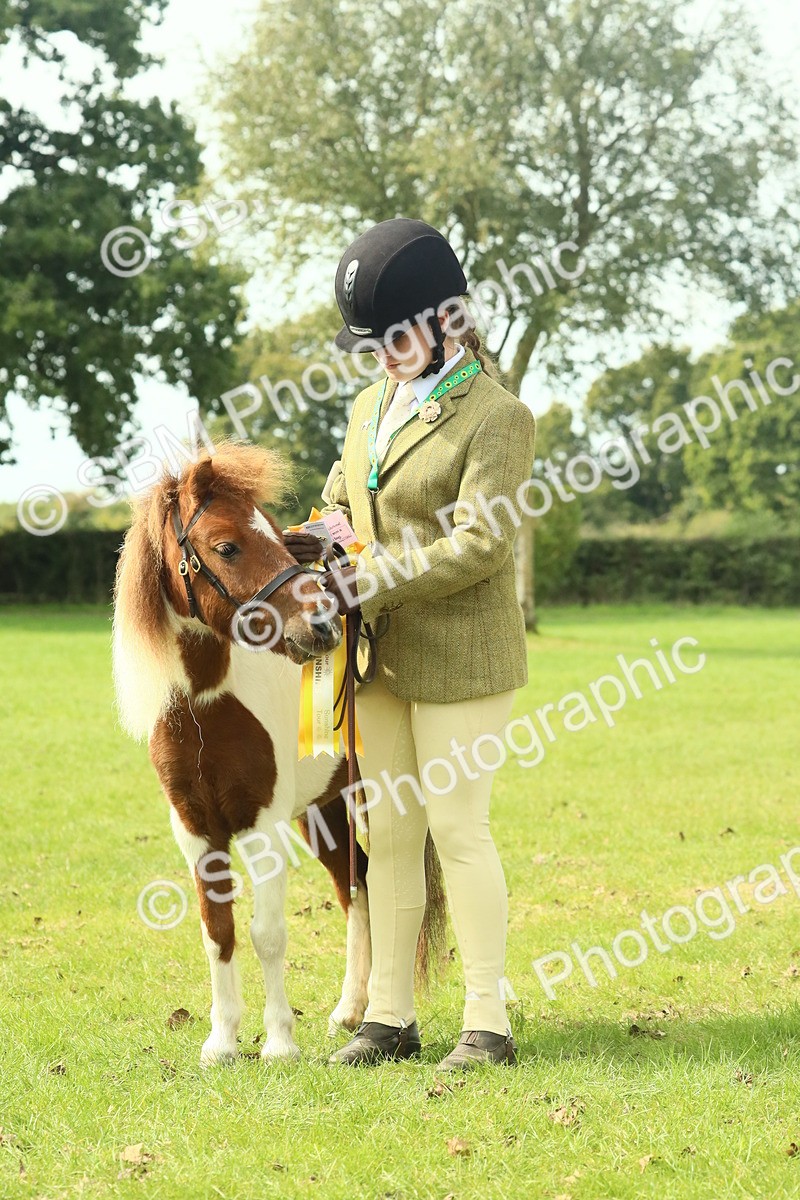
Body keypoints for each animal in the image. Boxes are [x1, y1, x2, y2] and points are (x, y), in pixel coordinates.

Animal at [112, 443, 444, 1066]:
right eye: (226, 545)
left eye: (276, 534)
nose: (319, 627)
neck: (208, 708)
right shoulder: (197, 832)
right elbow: (218, 933)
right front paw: (221, 1043)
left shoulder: (261, 827)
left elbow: (266, 933)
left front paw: (279, 1043)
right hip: (324, 813)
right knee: (357, 892)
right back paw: (351, 1013)